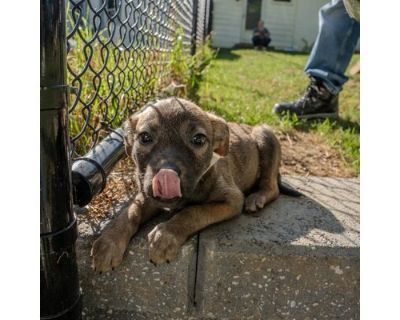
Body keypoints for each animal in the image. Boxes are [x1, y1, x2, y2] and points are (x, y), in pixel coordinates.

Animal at [90, 97, 296, 270]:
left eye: (198, 139)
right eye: (144, 137)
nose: (167, 173)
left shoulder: (231, 200)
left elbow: (193, 212)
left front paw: (165, 234)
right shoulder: (147, 195)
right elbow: (131, 211)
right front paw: (109, 240)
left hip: (265, 135)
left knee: (272, 187)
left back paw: (257, 197)